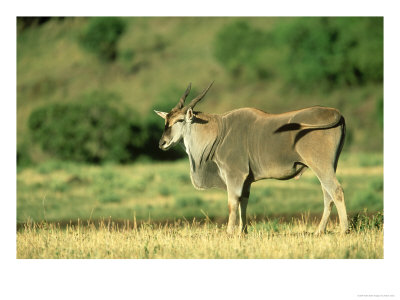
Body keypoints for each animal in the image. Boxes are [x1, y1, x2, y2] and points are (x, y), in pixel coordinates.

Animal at [155, 82, 348, 234]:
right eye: (166, 120)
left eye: (179, 120)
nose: (162, 143)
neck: (220, 131)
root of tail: (335, 112)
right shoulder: (246, 180)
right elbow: (244, 201)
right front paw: (243, 231)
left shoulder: (235, 175)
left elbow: (233, 202)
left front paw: (229, 233)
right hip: (328, 166)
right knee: (327, 193)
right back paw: (319, 231)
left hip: (321, 166)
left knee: (336, 190)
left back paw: (344, 230)